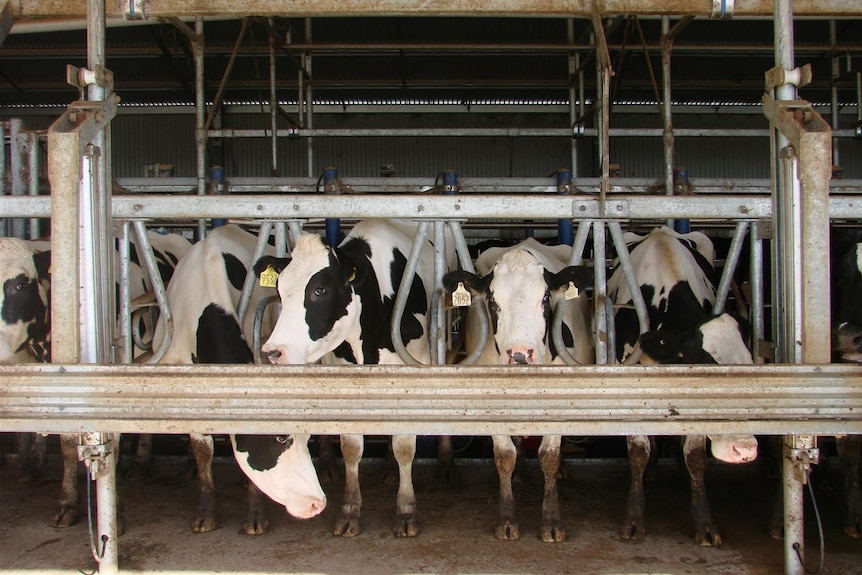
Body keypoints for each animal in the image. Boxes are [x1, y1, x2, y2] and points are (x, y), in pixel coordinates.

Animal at [152, 225, 328, 536]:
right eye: (280, 437)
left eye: (307, 436)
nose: (316, 503)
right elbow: (203, 450)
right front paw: (206, 512)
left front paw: (255, 515)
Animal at [258, 219, 456, 540]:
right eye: (279, 289)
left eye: (319, 289)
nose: (273, 352)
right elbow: (351, 447)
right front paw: (350, 510)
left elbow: (405, 447)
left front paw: (406, 511)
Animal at [442, 237, 596, 540]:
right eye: (492, 301)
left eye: (546, 298)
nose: (520, 354)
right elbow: (504, 456)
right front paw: (507, 519)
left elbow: (549, 457)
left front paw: (552, 521)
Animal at [608, 227, 764, 548]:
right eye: (702, 371)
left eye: (750, 368)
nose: (743, 450)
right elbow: (638, 451)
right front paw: (633, 520)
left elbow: (695, 456)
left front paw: (704, 522)